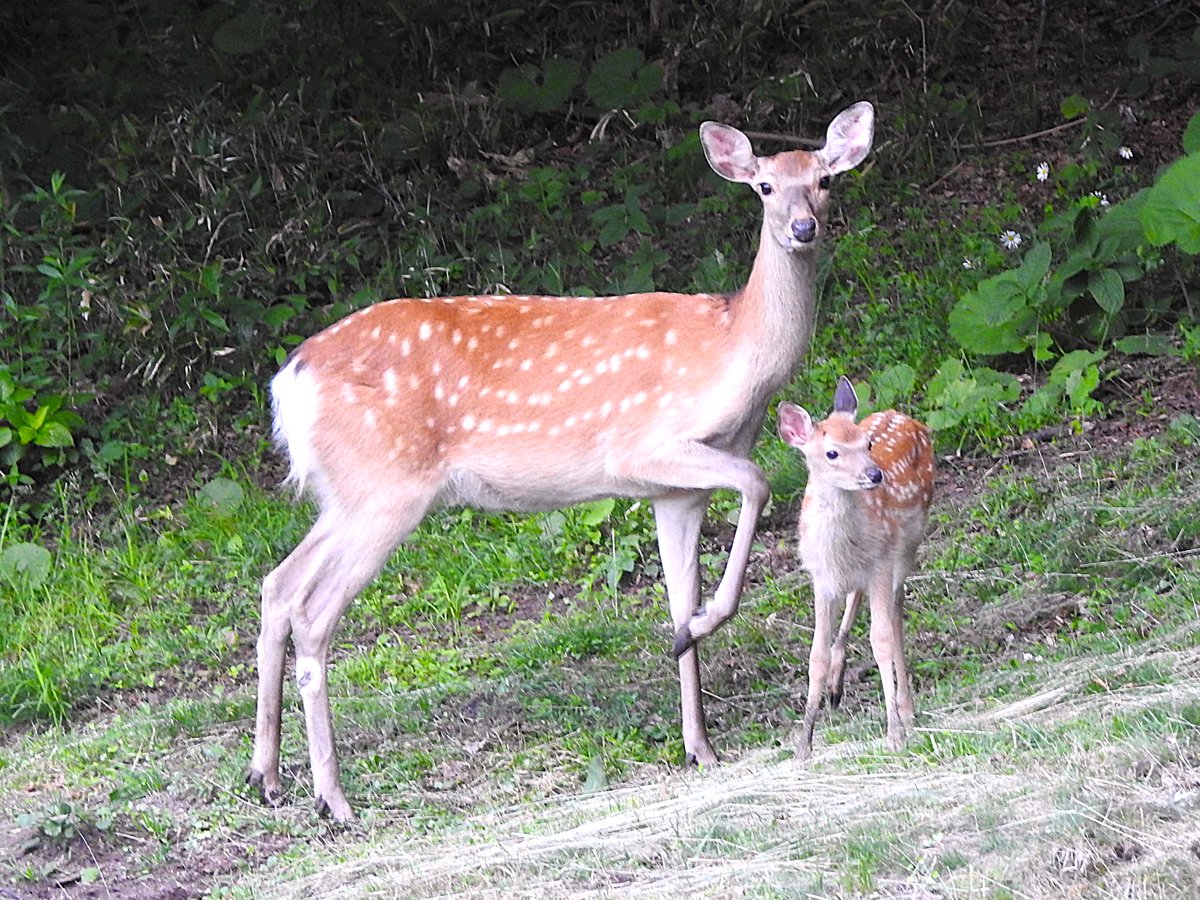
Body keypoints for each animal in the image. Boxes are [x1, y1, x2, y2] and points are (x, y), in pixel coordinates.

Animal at [248, 102, 875, 821]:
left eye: (825, 180)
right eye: (765, 186)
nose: (803, 227)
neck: (732, 351)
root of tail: (289, 381)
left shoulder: (674, 492)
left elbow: (678, 597)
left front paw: (700, 738)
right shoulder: (641, 447)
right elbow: (760, 480)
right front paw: (707, 632)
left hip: (347, 492)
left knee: (278, 585)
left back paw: (266, 774)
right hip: (387, 488)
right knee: (314, 612)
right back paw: (334, 797)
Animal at [777, 377, 935, 759]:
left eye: (868, 444)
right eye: (832, 453)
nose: (875, 474)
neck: (838, 549)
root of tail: (903, 416)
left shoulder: (880, 562)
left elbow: (881, 639)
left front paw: (894, 732)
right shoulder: (821, 579)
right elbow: (815, 655)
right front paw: (803, 744)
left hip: (907, 543)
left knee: (896, 613)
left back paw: (906, 709)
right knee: (859, 601)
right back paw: (838, 681)